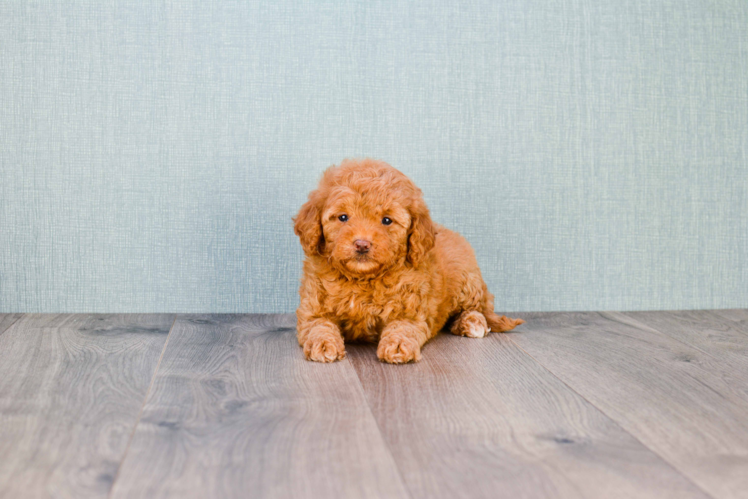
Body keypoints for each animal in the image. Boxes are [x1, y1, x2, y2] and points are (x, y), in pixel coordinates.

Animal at [290, 159, 520, 364]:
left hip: (468, 282)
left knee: (479, 308)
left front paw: (399, 345)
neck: (363, 278)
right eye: (343, 217)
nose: (362, 244)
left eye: (386, 220)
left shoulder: (411, 311)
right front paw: (323, 344)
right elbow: (318, 325)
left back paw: (472, 322)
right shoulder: (313, 308)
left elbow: (403, 327)